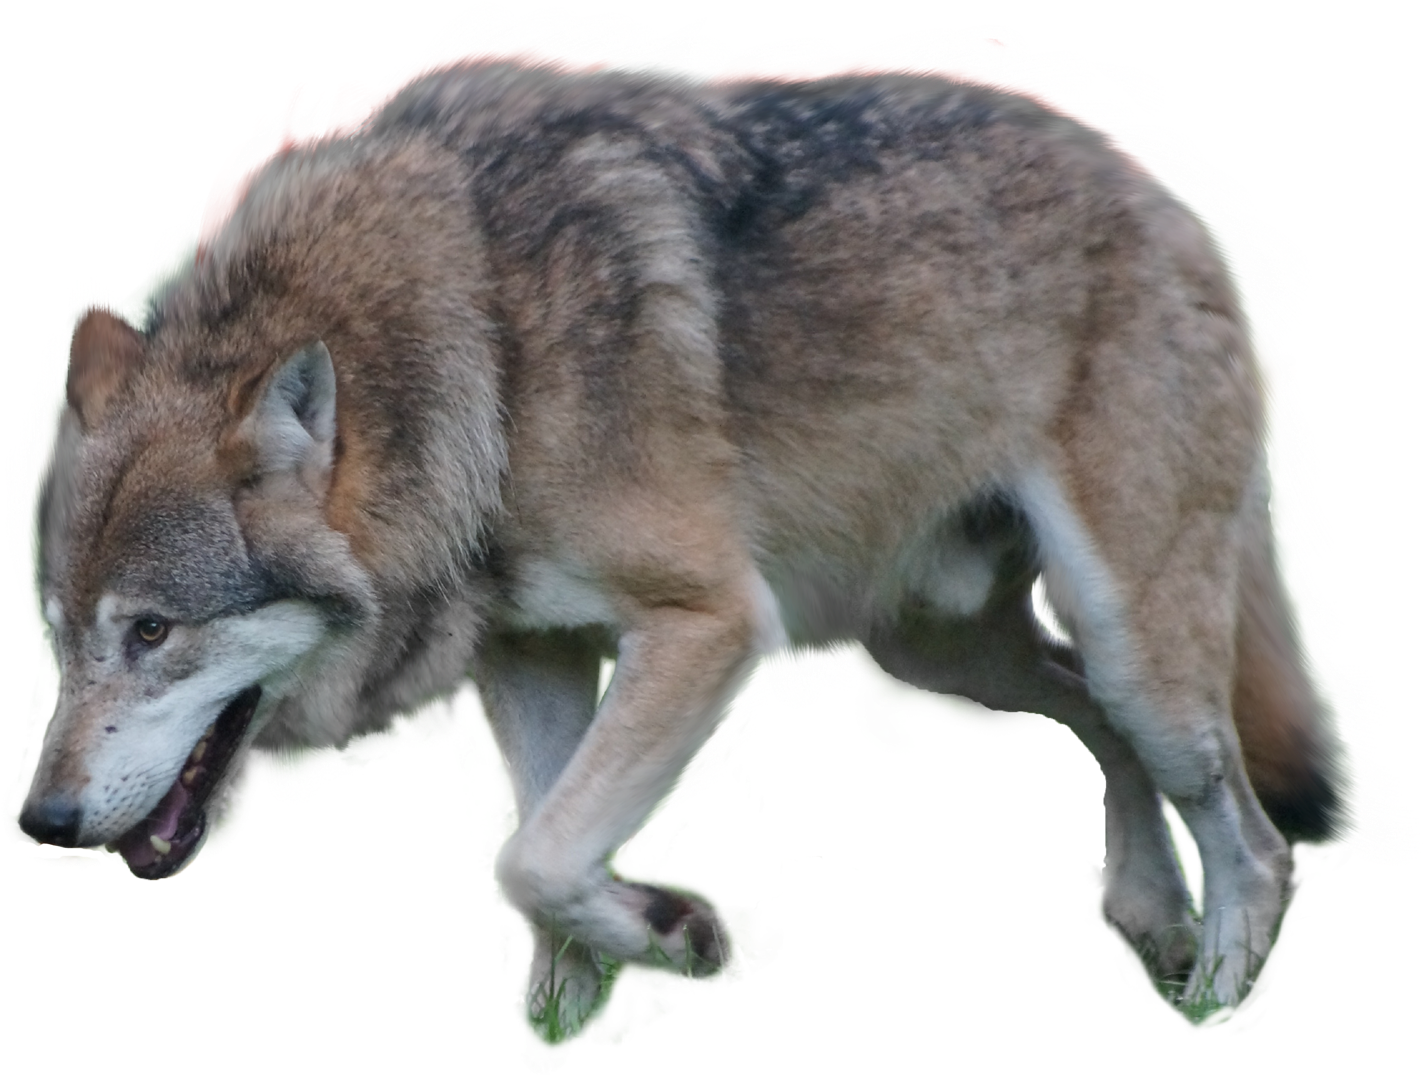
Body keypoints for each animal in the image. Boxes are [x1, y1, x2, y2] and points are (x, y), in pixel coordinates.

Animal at [16, 46, 1361, 1045]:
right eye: (63, 640)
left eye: (152, 630)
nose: (42, 821)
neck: (479, 355)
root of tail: (1186, 213)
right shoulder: (534, 654)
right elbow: (540, 878)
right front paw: (566, 1030)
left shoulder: (708, 622)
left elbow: (536, 863)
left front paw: (677, 932)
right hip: (942, 656)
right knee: (1094, 718)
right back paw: (1149, 917)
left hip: (1132, 648)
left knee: (1257, 849)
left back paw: (1213, 1000)